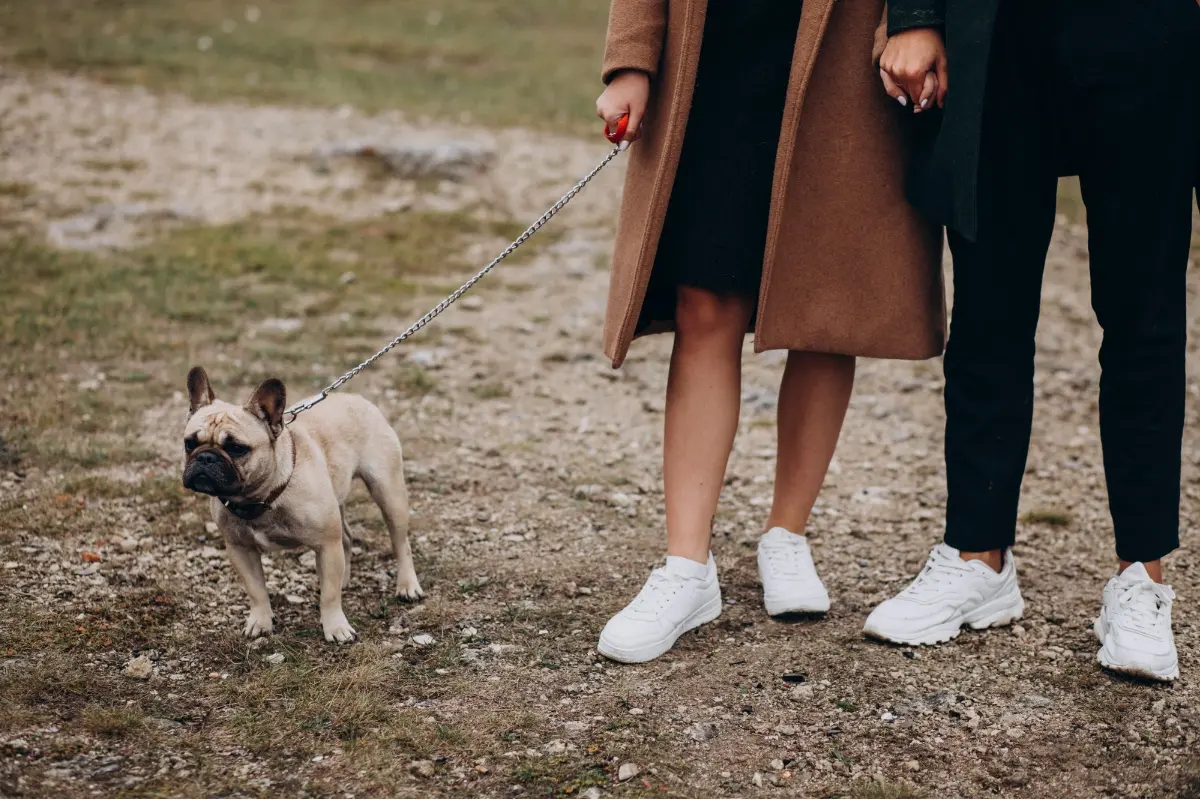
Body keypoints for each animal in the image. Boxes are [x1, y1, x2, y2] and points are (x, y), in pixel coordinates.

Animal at [177, 369, 422, 642]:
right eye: (189, 443)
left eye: (237, 448)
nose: (205, 457)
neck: (260, 497)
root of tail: (357, 398)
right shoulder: (240, 549)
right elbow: (256, 590)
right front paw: (261, 621)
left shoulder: (326, 544)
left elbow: (329, 597)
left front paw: (335, 627)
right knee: (347, 539)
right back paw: (344, 579)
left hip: (388, 492)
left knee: (400, 542)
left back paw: (407, 586)